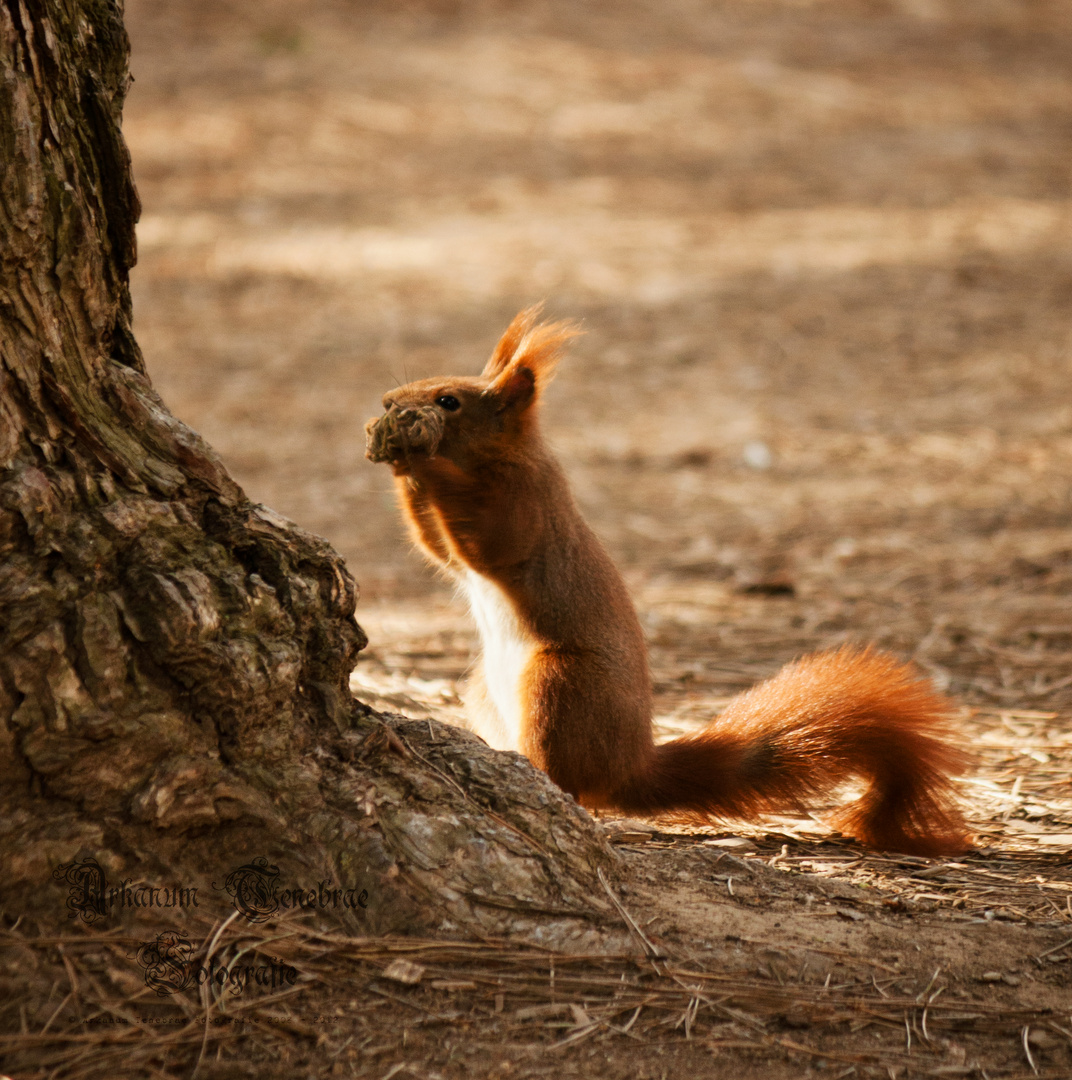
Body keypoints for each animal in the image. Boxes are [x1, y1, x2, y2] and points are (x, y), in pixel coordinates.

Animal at [362, 302, 971, 851]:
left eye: (449, 400)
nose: (389, 402)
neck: (504, 460)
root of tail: (631, 766)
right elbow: (441, 553)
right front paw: (397, 459)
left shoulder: (528, 507)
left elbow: (493, 545)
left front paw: (422, 457)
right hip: (484, 687)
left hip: (560, 685)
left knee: (570, 783)